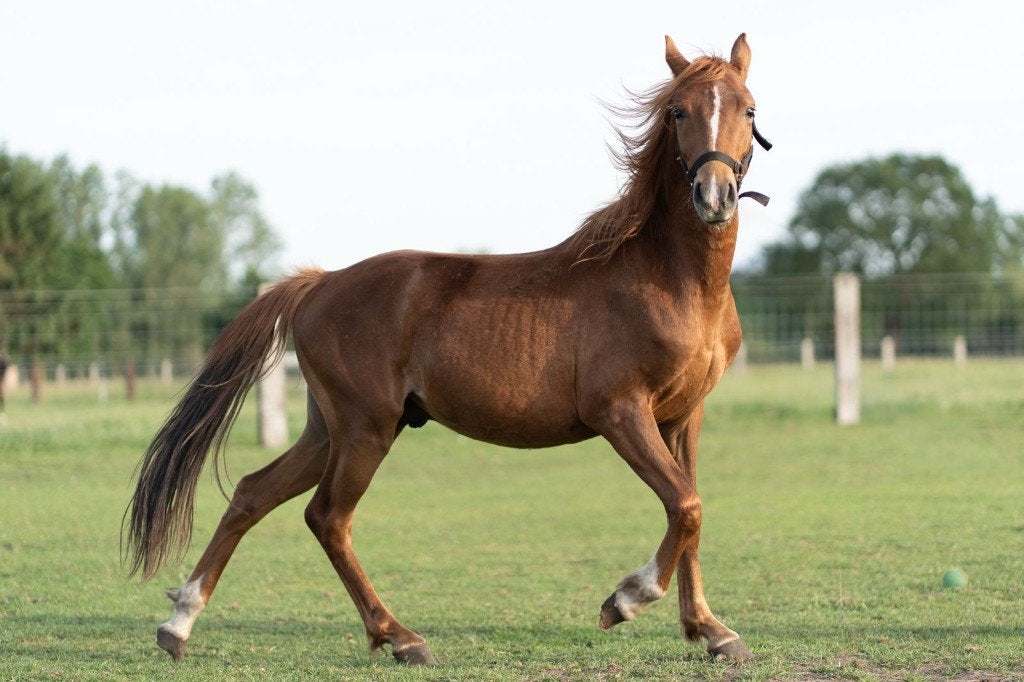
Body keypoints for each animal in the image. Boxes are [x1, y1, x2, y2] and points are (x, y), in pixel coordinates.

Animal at [125, 33, 772, 666]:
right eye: (678, 111)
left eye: (748, 109)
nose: (714, 196)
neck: (668, 281)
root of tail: (321, 282)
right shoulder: (619, 412)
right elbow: (686, 505)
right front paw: (626, 599)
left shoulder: (683, 416)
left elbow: (689, 510)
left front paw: (711, 631)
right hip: (365, 428)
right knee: (327, 517)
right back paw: (400, 637)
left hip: (328, 429)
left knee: (253, 492)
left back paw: (179, 622)